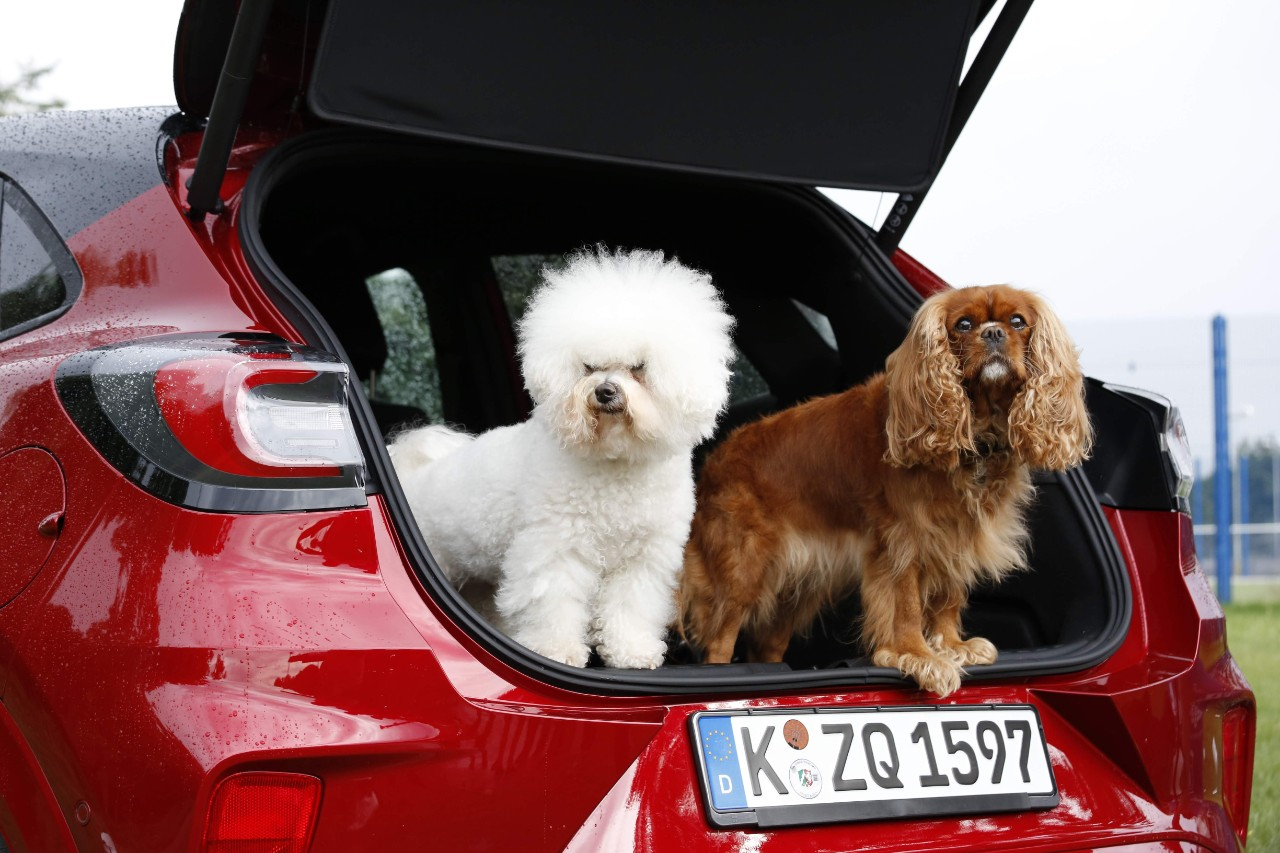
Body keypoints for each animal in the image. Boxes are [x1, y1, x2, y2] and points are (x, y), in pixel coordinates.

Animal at [386, 249, 732, 666]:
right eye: (588, 367)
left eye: (639, 368)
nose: (604, 391)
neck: (615, 465)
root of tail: (410, 475)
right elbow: (554, 602)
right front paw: (557, 650)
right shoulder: (555, 547)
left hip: (480, 585)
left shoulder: (641, 559)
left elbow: (629, 606)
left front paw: (630, 650)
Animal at [680, 281, 1090, 696]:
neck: (975, 428)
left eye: (1018, 321)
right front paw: (918, 655)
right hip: (744, 567)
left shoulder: (959, 533)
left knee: (767, 646)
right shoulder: (903, 539)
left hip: (797, 588)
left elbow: (950, 594)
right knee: (719, 641)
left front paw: (951, 645)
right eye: (963, 324)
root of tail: (716, 459)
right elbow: (905, 604)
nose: (992, 333)